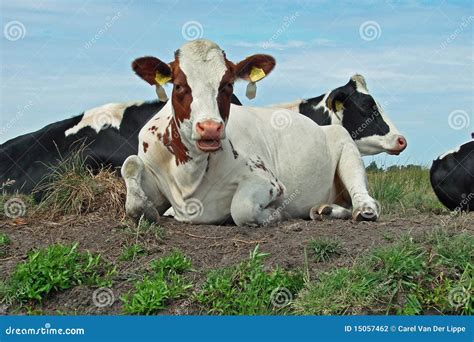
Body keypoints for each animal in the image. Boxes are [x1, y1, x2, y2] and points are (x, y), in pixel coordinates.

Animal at [122, 38, 382, 226]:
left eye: (228, 85)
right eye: (178, 85)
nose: (210, 127)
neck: (190, 174)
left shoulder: (267, 179)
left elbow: (242, 209)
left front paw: (276, 215)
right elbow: (131, 169)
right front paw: (149, 210)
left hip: (346, 145)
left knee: (361, 194)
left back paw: (364, 210)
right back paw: (325, 210)